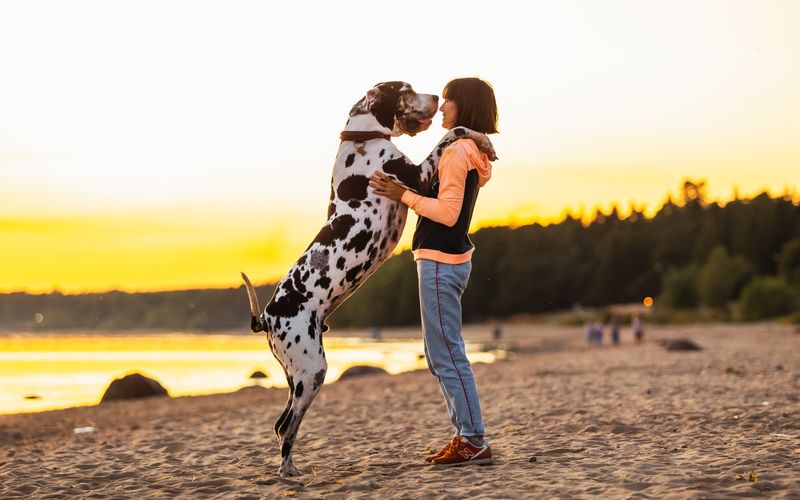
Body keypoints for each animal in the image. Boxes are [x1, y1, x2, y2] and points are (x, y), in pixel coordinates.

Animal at [241, 82, 496, 476]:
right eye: (405, 89)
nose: (437, 99)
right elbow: (453, 133)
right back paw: (288, 471)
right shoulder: (419, 177)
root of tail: (267, 317)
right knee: (285, 426)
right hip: (311, 371)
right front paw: (482, 139)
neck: (363, 136)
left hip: (295, 374)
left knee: (281, 423)